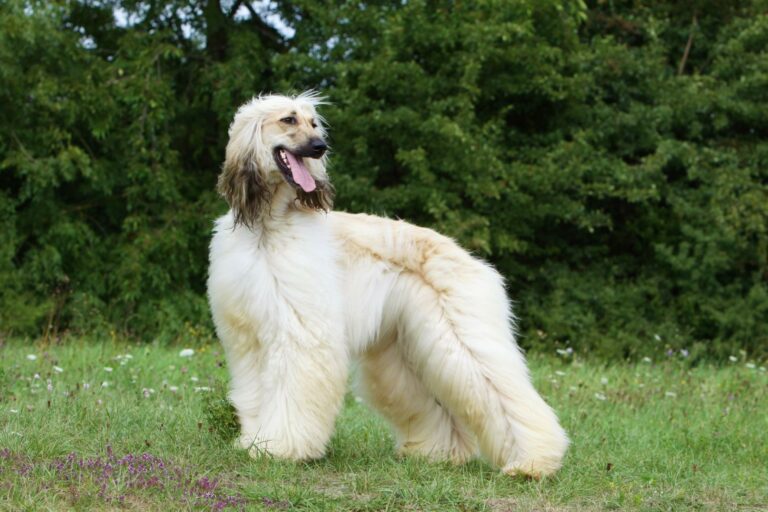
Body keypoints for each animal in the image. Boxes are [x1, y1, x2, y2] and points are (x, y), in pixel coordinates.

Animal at [207, 91, 568, 476]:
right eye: (288, 119)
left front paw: (280, 446)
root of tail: (475, 262)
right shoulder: (247, 336)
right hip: (401, 348)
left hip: (462, 334)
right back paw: (441, 451)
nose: (320, 147)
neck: (268, 228)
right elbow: (254, 392)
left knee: (503, 390)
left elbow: (293, 386)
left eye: (314, 123)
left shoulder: (301, 329)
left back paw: (532, 461)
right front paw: (254, 441)